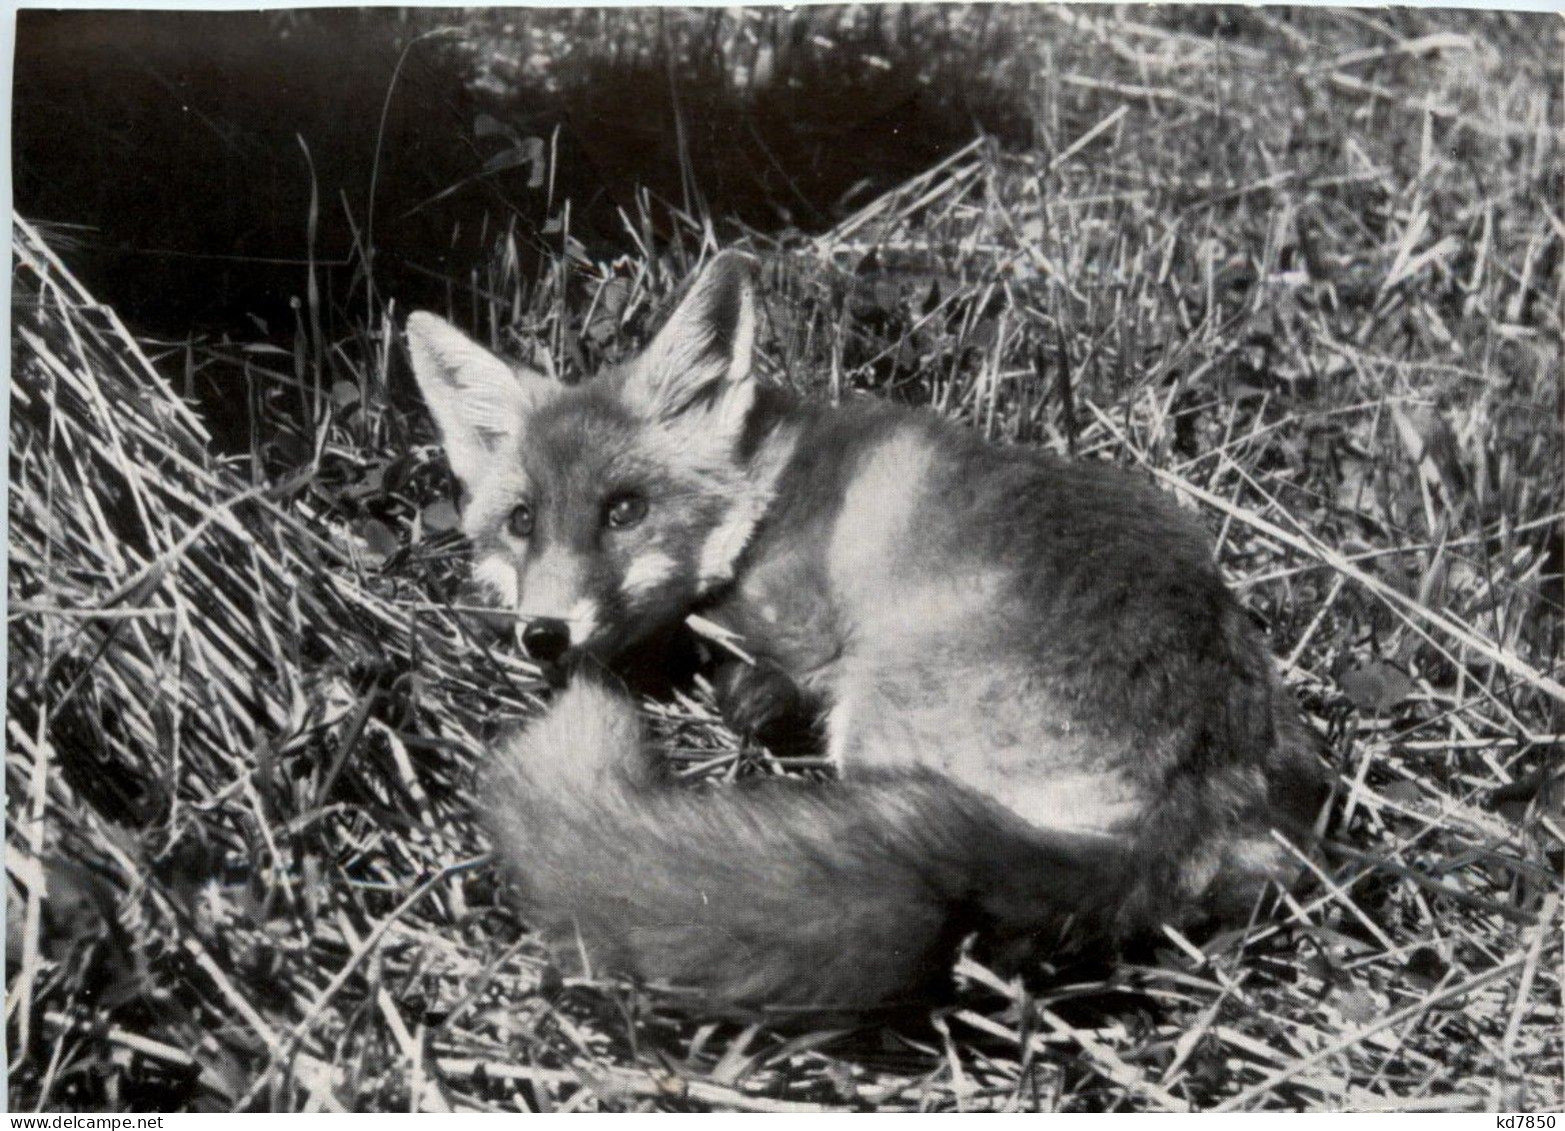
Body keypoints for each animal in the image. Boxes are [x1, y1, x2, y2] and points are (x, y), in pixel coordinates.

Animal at [406, 254, 1333, 1019]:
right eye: (521, 521)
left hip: (875, 719)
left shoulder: (800, 638)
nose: (543, 634)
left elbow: (750, 678)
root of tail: (1182, 799)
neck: (769, 485)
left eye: (624, 509)